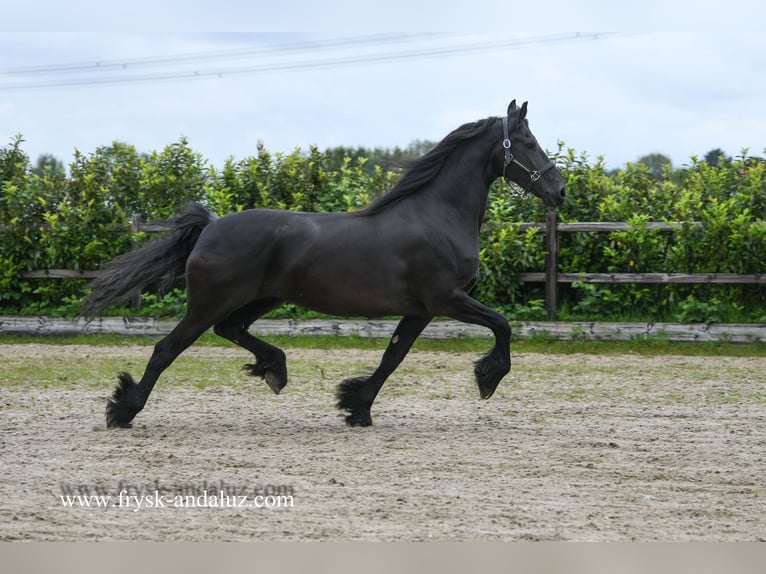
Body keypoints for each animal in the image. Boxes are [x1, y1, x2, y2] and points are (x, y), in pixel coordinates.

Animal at [83, 100, 566, 428]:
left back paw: (274, 368)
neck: (437, 214)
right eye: (528, 142)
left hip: (263, 298)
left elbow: (393, 356)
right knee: (167, 349)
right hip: (210, 303)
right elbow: (502, 324)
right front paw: (487, 379)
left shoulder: (421, 310)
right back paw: (123, 410)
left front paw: (357, 406)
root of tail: (211, 225)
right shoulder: (447, 299)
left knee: (231, 329)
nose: (559, 190)